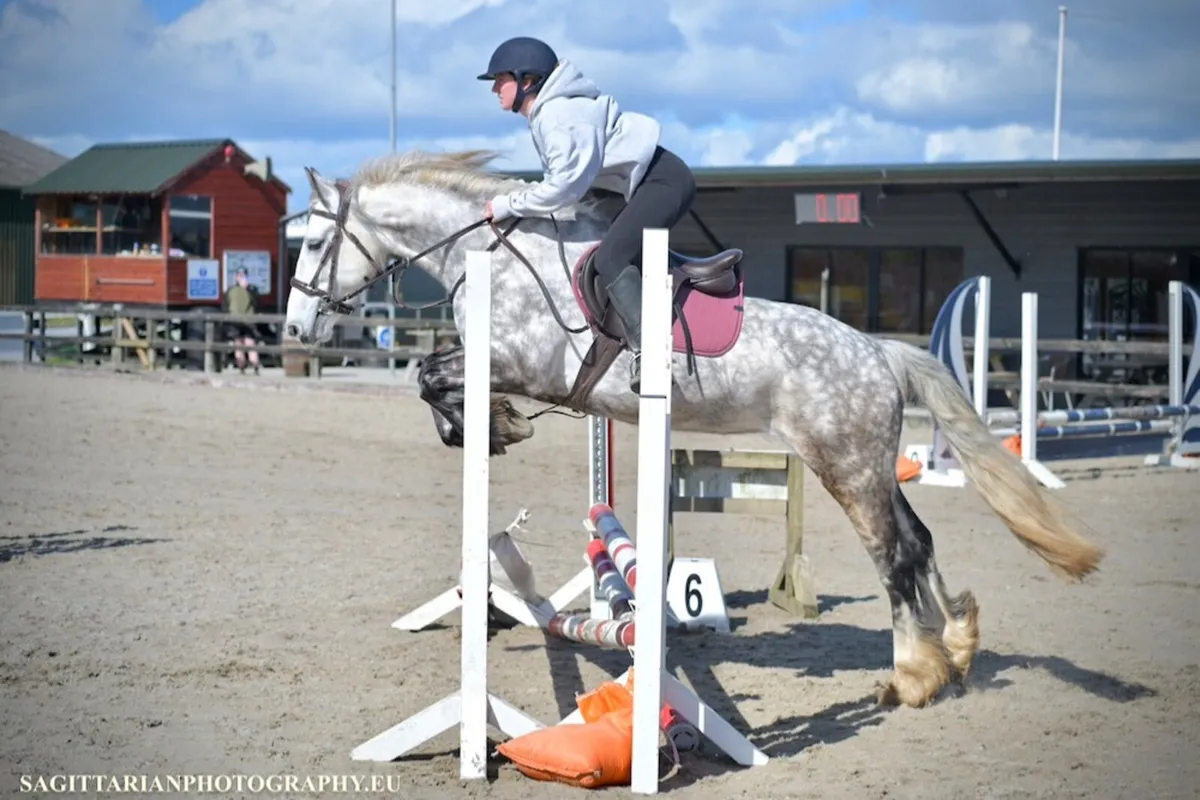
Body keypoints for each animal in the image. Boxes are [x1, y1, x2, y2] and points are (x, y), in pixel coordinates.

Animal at [283, 148, 1104, 709]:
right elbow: (432, 373)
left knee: (894, 554)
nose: (294, 330)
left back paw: (912, 677)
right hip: (870, 465)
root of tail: (878, 351)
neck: (494, 258)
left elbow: (433, 373)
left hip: (843, 465)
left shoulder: (527, 363)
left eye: (316, 244)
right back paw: (957, 650)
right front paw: (486, 427)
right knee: (921, 541)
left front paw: (489, 427)